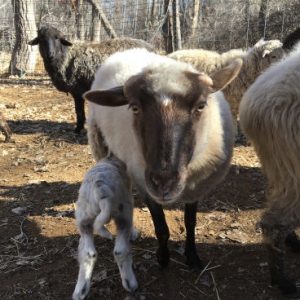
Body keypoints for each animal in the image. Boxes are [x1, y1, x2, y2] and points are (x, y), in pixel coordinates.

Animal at [27, 25, 155, 133]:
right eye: (41, 39)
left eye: (57, 38)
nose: (50, 54)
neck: (66, 57)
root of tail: (152, 48)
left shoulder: (77, 91)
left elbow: (79, 112)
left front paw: (78, 129)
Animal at [72, 155, 139, 300]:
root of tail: (100, 190)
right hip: (124, 214)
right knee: (120, 251)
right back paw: (130, 284)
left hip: (84, 218)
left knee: (88, 253)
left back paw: (80, 291)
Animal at [83, 48, 243, 270]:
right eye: (134, 107)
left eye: (201, 106)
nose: (164, 183)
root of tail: (127, 50)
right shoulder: (146, 186)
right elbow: (161, 228)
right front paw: (163, 258)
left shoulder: (196, 187)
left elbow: (190, 223)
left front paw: (192, 256)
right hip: (102, 145)